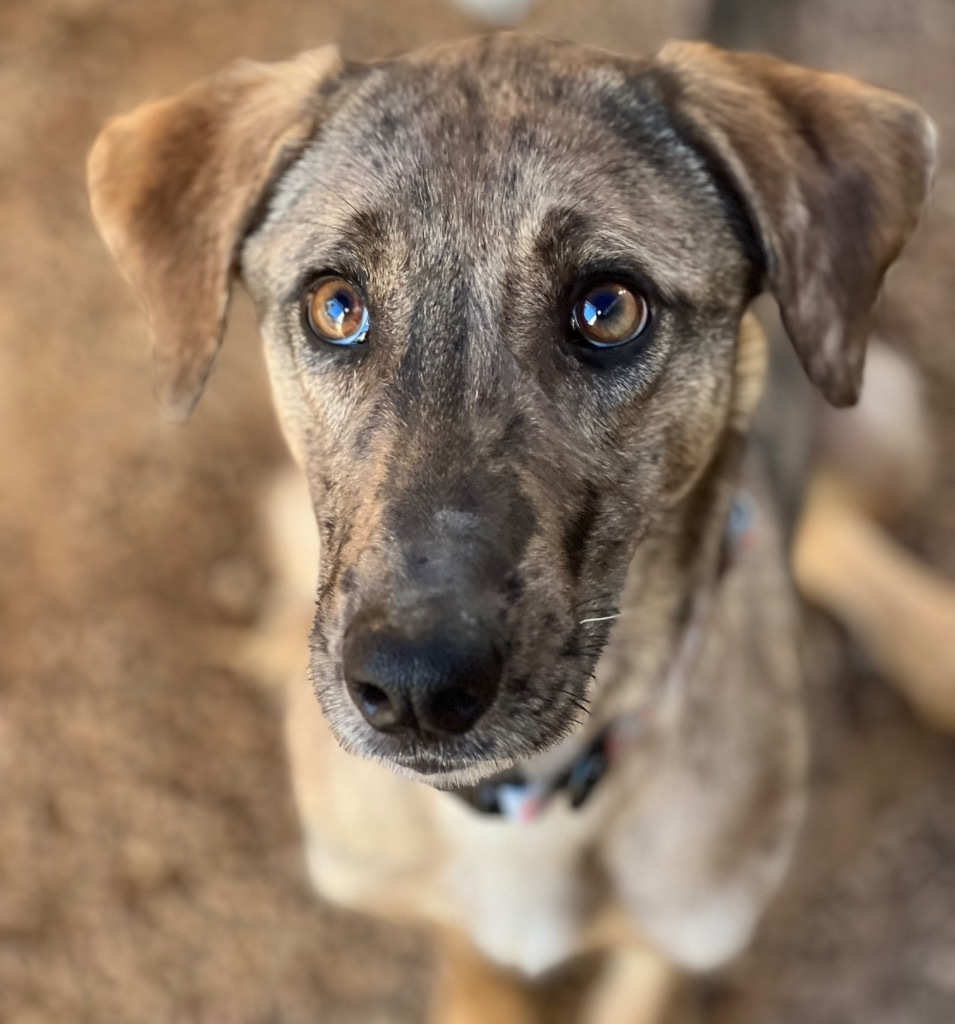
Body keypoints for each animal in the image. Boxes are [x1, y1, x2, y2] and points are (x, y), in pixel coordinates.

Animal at [89, 34, 937, 1024]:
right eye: (336, 305)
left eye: (607, 307)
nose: (414, 689)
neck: (526, 810)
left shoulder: (673, 938)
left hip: (890, 419)